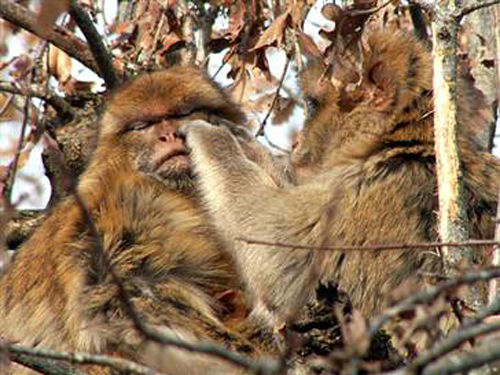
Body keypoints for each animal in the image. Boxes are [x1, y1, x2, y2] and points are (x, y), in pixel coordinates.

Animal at [182, 27, 498, 334]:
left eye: (312, 104)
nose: (297, 143)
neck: (405, 142)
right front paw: (250, 147)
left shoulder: (366, 195)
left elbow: (281, 268)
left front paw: (214, 137)